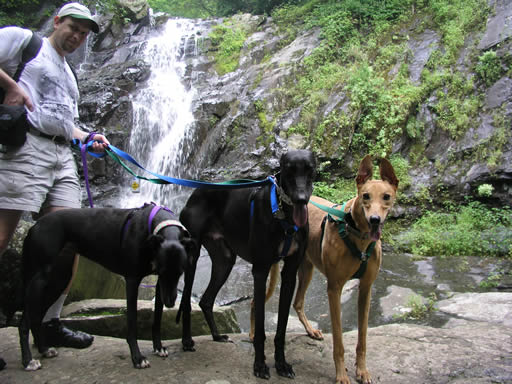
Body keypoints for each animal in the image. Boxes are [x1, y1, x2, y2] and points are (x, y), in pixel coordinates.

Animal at [19, 202, 193, 370]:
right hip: (39, 281)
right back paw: (28, 361)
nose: (170, 303)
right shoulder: (132, 281)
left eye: (181, 272)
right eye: (163, 271)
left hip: (59, 280)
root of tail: (35, 226)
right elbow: (132, 323)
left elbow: (157, 318)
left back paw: (44, 350)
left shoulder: (159, 285)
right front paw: (137, 358)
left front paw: (158, 347)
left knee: (37, 317)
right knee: (24, 322)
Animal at [180, 149, 316, 378]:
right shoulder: (260, 271)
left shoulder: (290, 272)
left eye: (310, 169)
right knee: (186, 302)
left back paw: (217, 336)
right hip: (192, 256)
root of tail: (197, 190)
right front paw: (260, 366)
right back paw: (187, 340)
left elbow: (281, 327)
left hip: (225, 261)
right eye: (289, 169)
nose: (301, 200)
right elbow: (260, 329)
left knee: (206, 301)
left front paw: (281, 364)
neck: (284, 215)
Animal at [250, 155, 398, 384]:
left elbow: (363, 338)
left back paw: (310, 330)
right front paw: (341, 375)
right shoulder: (334, 289)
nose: (375, 220)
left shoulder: (366, 289)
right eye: (365, 196)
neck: (356, 234)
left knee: (298, 302)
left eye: (386, 197)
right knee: (254, 301)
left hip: (306, 269)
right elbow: (338, 340)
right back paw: (251, 335)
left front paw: (362, 370)